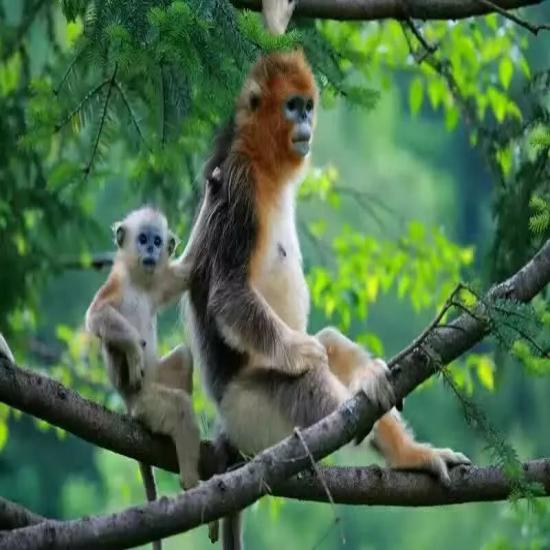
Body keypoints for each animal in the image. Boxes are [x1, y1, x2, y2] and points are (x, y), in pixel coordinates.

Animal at [87, 208, 204, 550]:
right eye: (141, 239)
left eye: (156, 240)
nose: (150, 250)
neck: (138, 283)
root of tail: (130, 405)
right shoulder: (114, 285)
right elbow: (95, 315)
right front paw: (132, 348)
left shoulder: (161, 282)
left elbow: (189, 268)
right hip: (147, 404)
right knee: (177, 407)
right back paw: (190, 481)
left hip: (157, 379)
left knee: (184, 356)